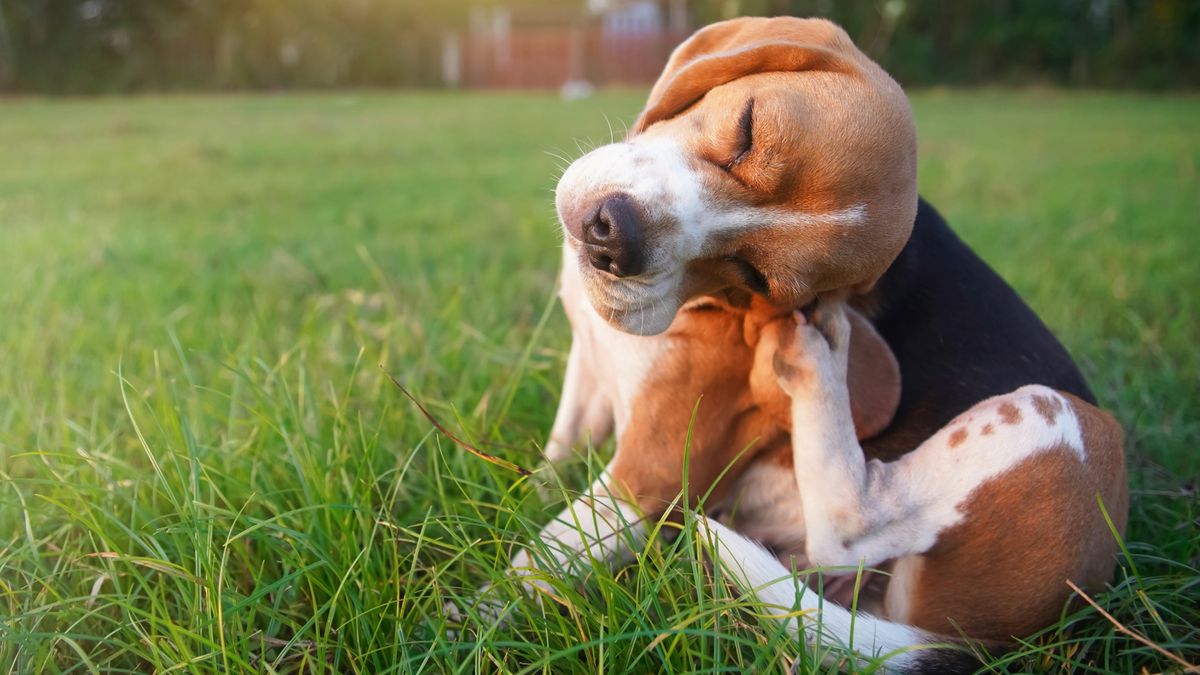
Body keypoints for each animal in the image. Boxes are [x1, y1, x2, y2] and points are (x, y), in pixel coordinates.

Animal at [472, 17, 1128, 672]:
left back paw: (818, 362)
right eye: (747, 130)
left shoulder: (647, 479)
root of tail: (981, 642)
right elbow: (553, 463)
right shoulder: (587, 374)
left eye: (757, 277)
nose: (613, 239)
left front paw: (462, 623)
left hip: (1063, 422)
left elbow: (528, 569)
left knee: (852, 527)